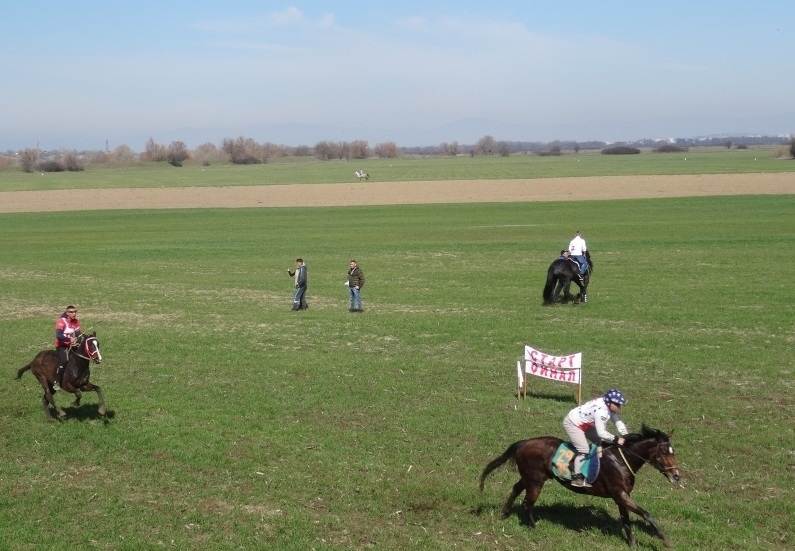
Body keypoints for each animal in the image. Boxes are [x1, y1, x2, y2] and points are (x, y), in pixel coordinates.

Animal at [482, 422, 680, 548]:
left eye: (673, 452)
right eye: (664, 452)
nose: (676, 475)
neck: (621, 460)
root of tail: (524, 442)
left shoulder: (622, 496)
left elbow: (626, 522)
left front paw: (631, 544)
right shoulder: (620, 494)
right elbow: (646, 514)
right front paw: (665, 540)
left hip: (530, 478)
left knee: (516, 489)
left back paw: (504, 513)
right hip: (536, 481)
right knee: (526, 504)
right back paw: (535, 528)